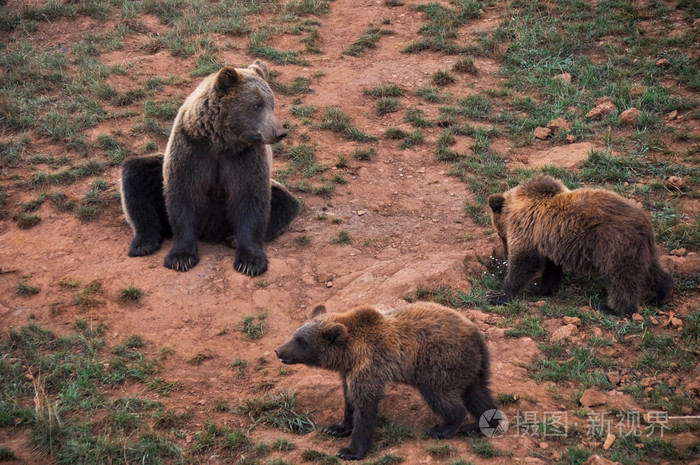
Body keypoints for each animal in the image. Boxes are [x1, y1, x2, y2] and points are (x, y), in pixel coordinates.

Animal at [119, 59, 298, 274]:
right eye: (257, 105)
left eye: (272, 104)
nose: (279, 132)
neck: (222, 141)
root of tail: (210, 233)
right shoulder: (192, 150)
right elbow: (184, 196)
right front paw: (181, 257)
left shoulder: (246, 157)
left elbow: (250, 199)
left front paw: (250, 262)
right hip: (157, 173)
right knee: (136, 175)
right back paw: (143, 243)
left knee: (285, 202)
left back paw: (232, 238)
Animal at [274, 302, 498, 458]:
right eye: (295, 334)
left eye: (301, 341)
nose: (278, 350)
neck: (349, 354)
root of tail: (476, 334)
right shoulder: (349, 372)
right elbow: (349, 399)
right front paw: (337, 427)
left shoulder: (370, 366)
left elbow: (365, 406)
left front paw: (350, 451)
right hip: (471, 366)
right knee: (478, 395)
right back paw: (481, 424)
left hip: (439, 360)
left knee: (440, 394)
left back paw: (443, 428)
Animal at [486, 175, 672, 316]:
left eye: (501, 235)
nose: (505, 251)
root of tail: (645, 221)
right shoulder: (550, 240)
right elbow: (551, 269)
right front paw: (540, 289)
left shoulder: (530, 230)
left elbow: (524, 263)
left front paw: (498, 295)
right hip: (639, 249)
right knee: (650, 270)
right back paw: (661, 294)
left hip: (614, 245)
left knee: (621, 278)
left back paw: (612, 308)